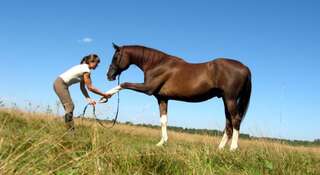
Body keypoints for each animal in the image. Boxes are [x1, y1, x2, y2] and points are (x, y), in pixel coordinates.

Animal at [106, 43, 251, 150]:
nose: (109, 75)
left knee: (235, 120)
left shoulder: (147, 89)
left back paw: (233, 148)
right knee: (228, 124)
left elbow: (124, 84)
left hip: (230, 99)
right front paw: (162, 142)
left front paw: (105, 96)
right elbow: (163, 120)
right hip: (226, 100)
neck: (156, 64)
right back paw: (220, 149)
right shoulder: (162, 98)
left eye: (115, 57)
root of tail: (245, 67)